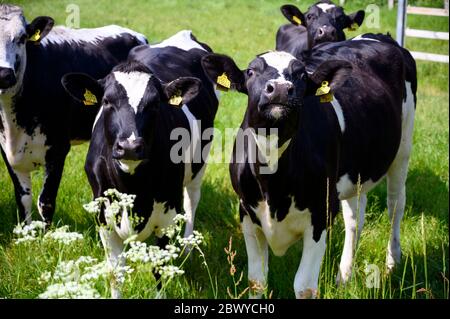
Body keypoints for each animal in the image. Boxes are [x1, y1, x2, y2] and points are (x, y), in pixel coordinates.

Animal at [0, 4, 146, 225]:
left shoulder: (58, 148)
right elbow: (23, 201)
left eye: (22, 38)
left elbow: (46, 202)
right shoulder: (8, 152)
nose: (3, 74)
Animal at [62, 31, 220, 298]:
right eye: (106, 101)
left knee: (192, 200)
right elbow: (115, 274)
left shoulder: (166, 220)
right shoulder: (104, 219)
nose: (129, 146)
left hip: (199, 162)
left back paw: (188, 248)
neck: (133, 185)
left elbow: (159, 272)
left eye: (155, 104)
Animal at [202, 38, 414, 300]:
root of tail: (379, 37)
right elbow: (256, 281)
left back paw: (392, 263)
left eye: (301, 75)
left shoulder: (320, 214)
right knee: (355, 218)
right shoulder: (247, 212)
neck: (273, 186)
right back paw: (344, 276)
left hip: (402, 147)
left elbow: (304, 287)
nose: (280, 89)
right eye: (251, 71)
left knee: (395, 205)